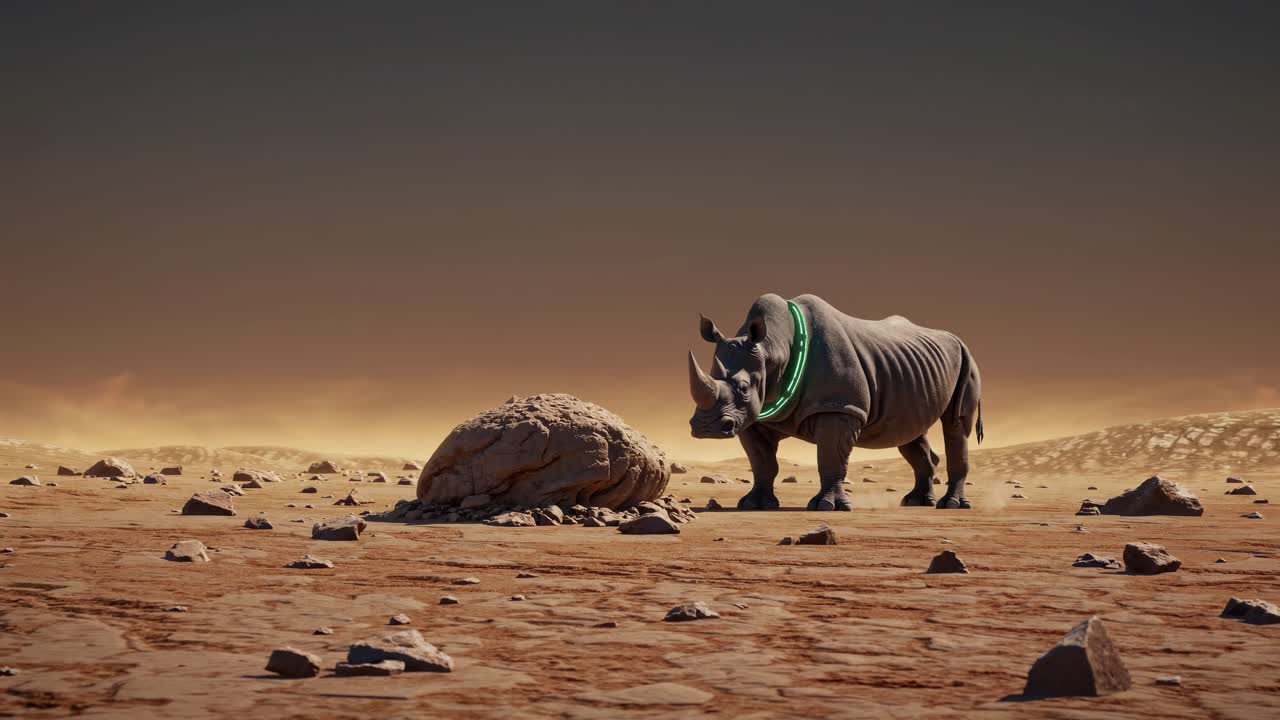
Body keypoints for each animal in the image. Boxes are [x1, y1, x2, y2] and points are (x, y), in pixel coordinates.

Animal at [688, 293, 983, 511]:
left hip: (967, 360)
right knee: (909, 431)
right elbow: (762, 462)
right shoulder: (754, 416)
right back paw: (916, 502)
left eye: (744, 388)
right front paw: (754, 504)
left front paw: (826, 506)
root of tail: (957, 339)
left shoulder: (839, 407)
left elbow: (830, 457)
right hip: (910, 369)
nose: (706, 428)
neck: (774, 349)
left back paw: (950, 505)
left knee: (955, 425)